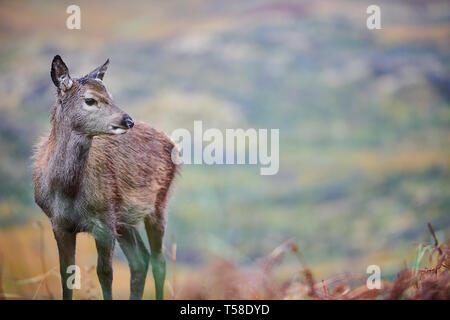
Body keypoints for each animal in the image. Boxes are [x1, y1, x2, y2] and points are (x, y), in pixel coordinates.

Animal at [33, 55, 179, 300]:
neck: (68, 191)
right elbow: (66, 274)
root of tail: (172, 143)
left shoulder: (104, 222)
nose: (128, 120)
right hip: (124, 217)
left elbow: (105, 273)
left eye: (111, 96)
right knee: (140, 259)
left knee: (159, 261)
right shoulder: (59, 224)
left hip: (158, 203)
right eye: (90, 100)